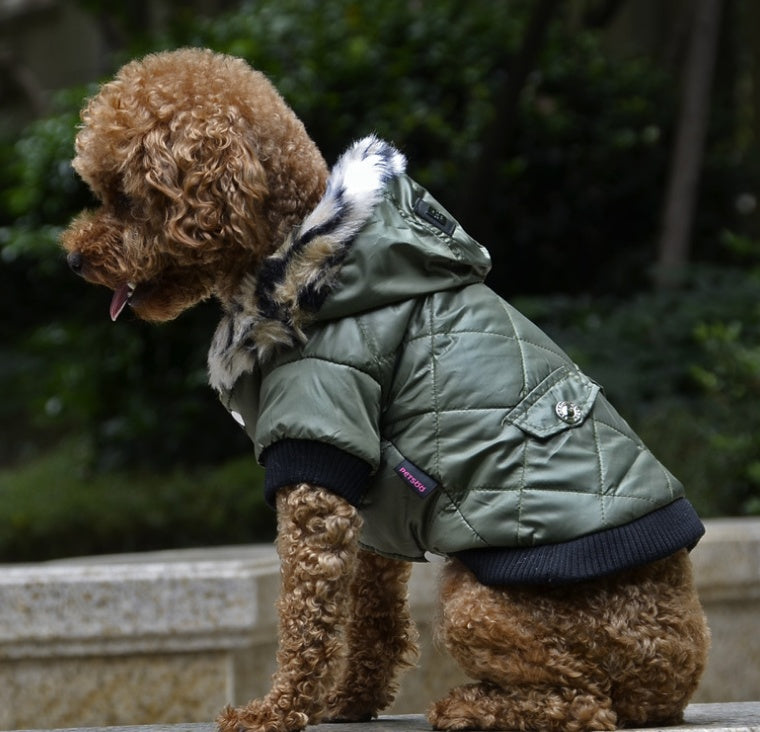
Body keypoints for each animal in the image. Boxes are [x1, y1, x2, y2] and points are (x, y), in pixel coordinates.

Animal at [62, 48, 708, 728]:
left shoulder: (321, 451)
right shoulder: (373, 497)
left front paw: (278, 709)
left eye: (126, 195)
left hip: (480, 605)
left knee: (583, 702)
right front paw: (351, 701)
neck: (307, 260)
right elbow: (373, 615)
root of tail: (676, 675)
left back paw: (470, 706)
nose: (72, 258)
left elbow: (306, 614)